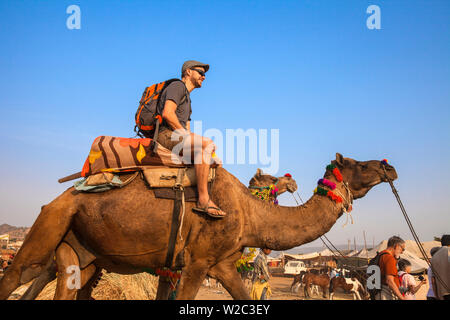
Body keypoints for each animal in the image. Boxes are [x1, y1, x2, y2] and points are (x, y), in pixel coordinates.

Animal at [0, 153, 398, 300]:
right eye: (360, 165)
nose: (388, 167)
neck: (249, 214)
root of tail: (61, 196)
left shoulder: (222, 264)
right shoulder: (195, 262)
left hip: (79, 252)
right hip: (50, 225)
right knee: (15, 274)